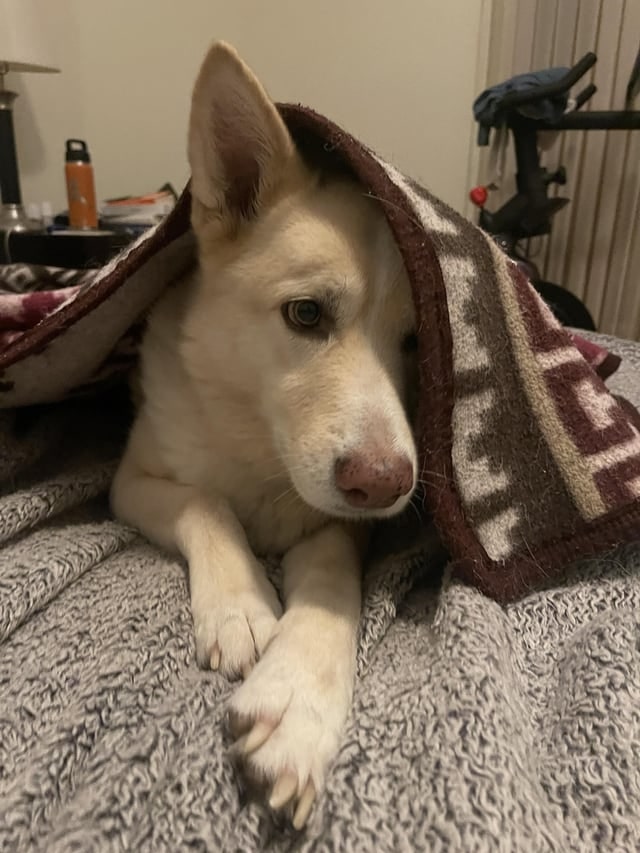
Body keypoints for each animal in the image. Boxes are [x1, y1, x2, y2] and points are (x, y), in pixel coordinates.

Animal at [111, 41, 416, 832]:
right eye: (306, 314)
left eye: (419, 343)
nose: (385, 485)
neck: (263, 449)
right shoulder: (131, 482)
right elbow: (205, 502)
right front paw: (243, 605)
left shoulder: (340, 524)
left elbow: (335, 576)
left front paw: (298, 702)